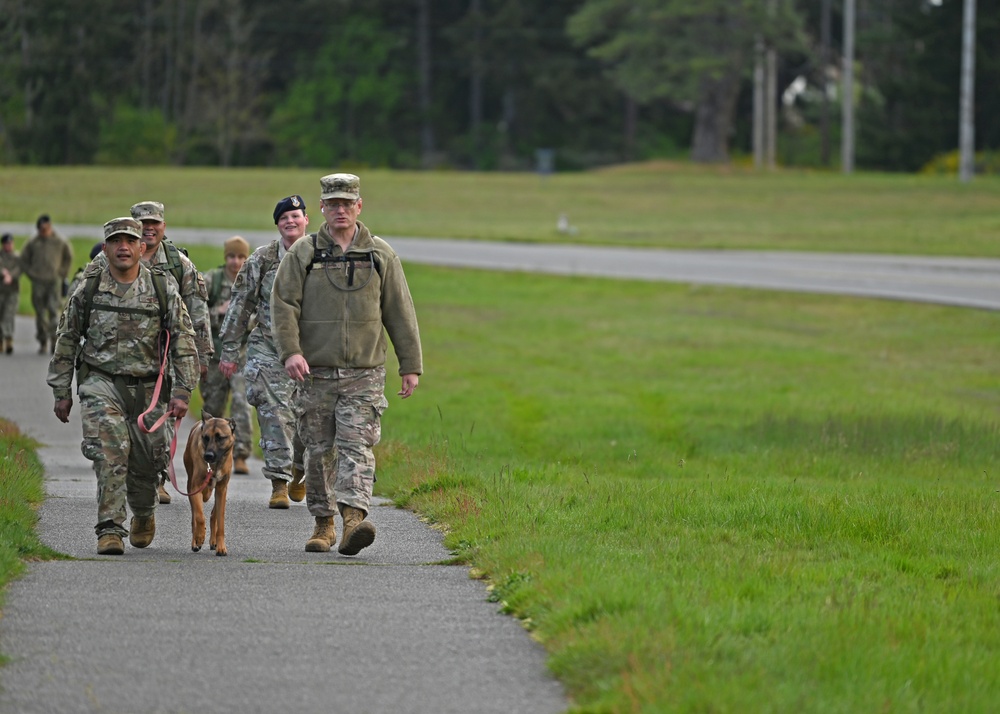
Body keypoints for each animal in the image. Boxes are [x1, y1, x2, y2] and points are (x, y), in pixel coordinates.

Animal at [182, 412, 236, 556]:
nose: (208, 456)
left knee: (214, 514)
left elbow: (220, 522)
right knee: (195, 517)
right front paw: (199, 537)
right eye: (205, 438)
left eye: (220, 438)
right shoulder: (195, 487)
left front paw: (221, 547)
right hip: (190, 485)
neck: (214, 465)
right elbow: (199, 516)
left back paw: (213, 541)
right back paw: (196, 541)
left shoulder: (222, 489)